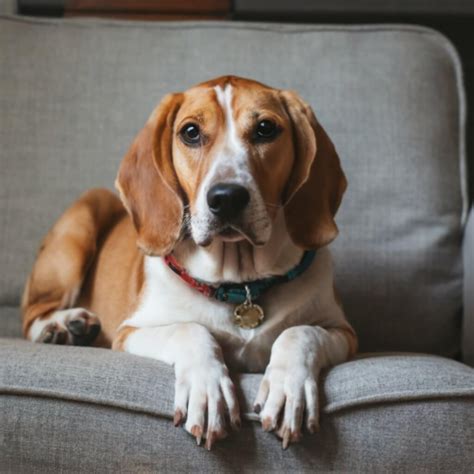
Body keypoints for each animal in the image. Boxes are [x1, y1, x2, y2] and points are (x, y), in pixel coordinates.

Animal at [21, 76, 356, 450]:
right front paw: (207, 389)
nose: (227, 197)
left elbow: (300, 332)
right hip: (83, 217)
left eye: (266, 129)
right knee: (31, 314)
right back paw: (63, 326)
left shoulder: (344, 333)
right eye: (191, 132)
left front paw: (288, 387)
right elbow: (189, 329)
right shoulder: (130, 332)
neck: (240, 282)